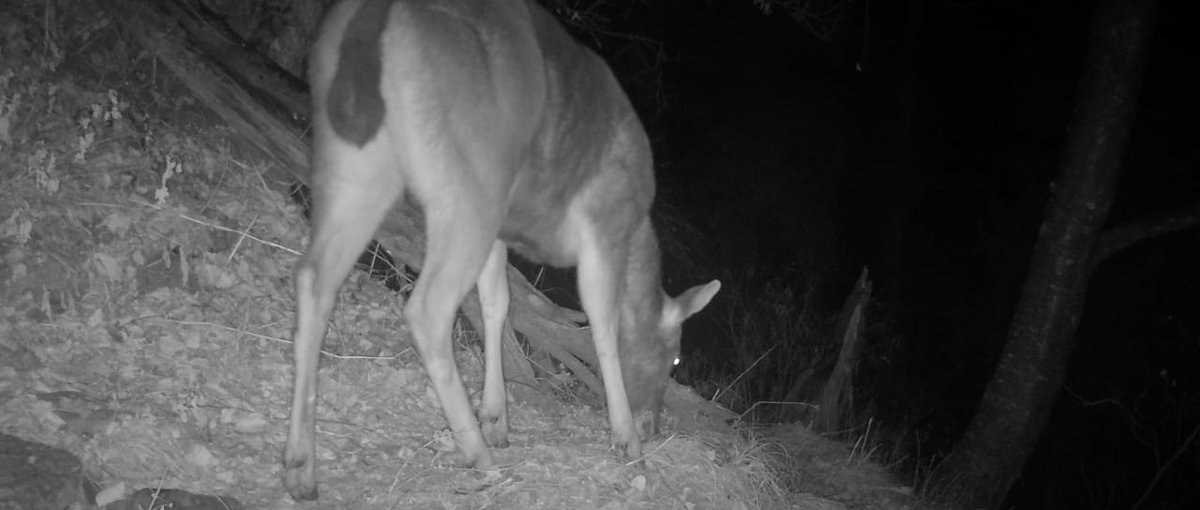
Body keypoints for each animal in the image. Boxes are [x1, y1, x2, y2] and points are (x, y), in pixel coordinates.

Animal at [283, 0, 722, 500]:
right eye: (675, 357)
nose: (653, 424)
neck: (636, 233)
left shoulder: (502, 231)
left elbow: (497, 303)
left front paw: (497, 417)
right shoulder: (602, 226)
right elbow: (603, 327)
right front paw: (625, 439)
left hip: (356, 159)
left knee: (314, 276)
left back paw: (301, 466)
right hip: (473, 183)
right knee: (427, 308)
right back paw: (476, 455)